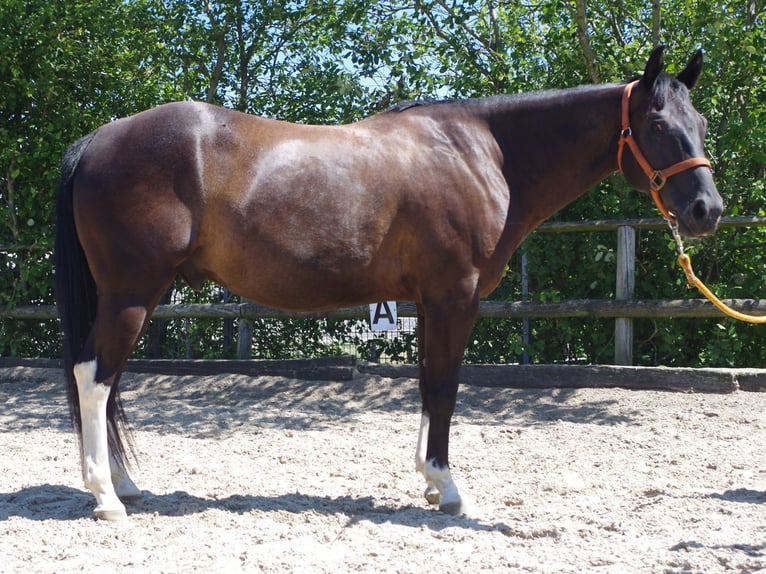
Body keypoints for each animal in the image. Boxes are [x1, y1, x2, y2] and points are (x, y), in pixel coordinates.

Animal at [54, 46, 723, 521]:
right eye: (657, 123)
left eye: (700, 121)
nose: (706, 210)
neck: (483, 154)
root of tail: (99, 138)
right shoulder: (456, 297)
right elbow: (446, 387)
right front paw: (449, 489)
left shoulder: (429, 301)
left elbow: (428, 383)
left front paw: (429, 481)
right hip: (132, 293)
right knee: (94, 376)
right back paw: (105, 497)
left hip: (135, 297)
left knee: (109, 382)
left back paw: (126, 485)